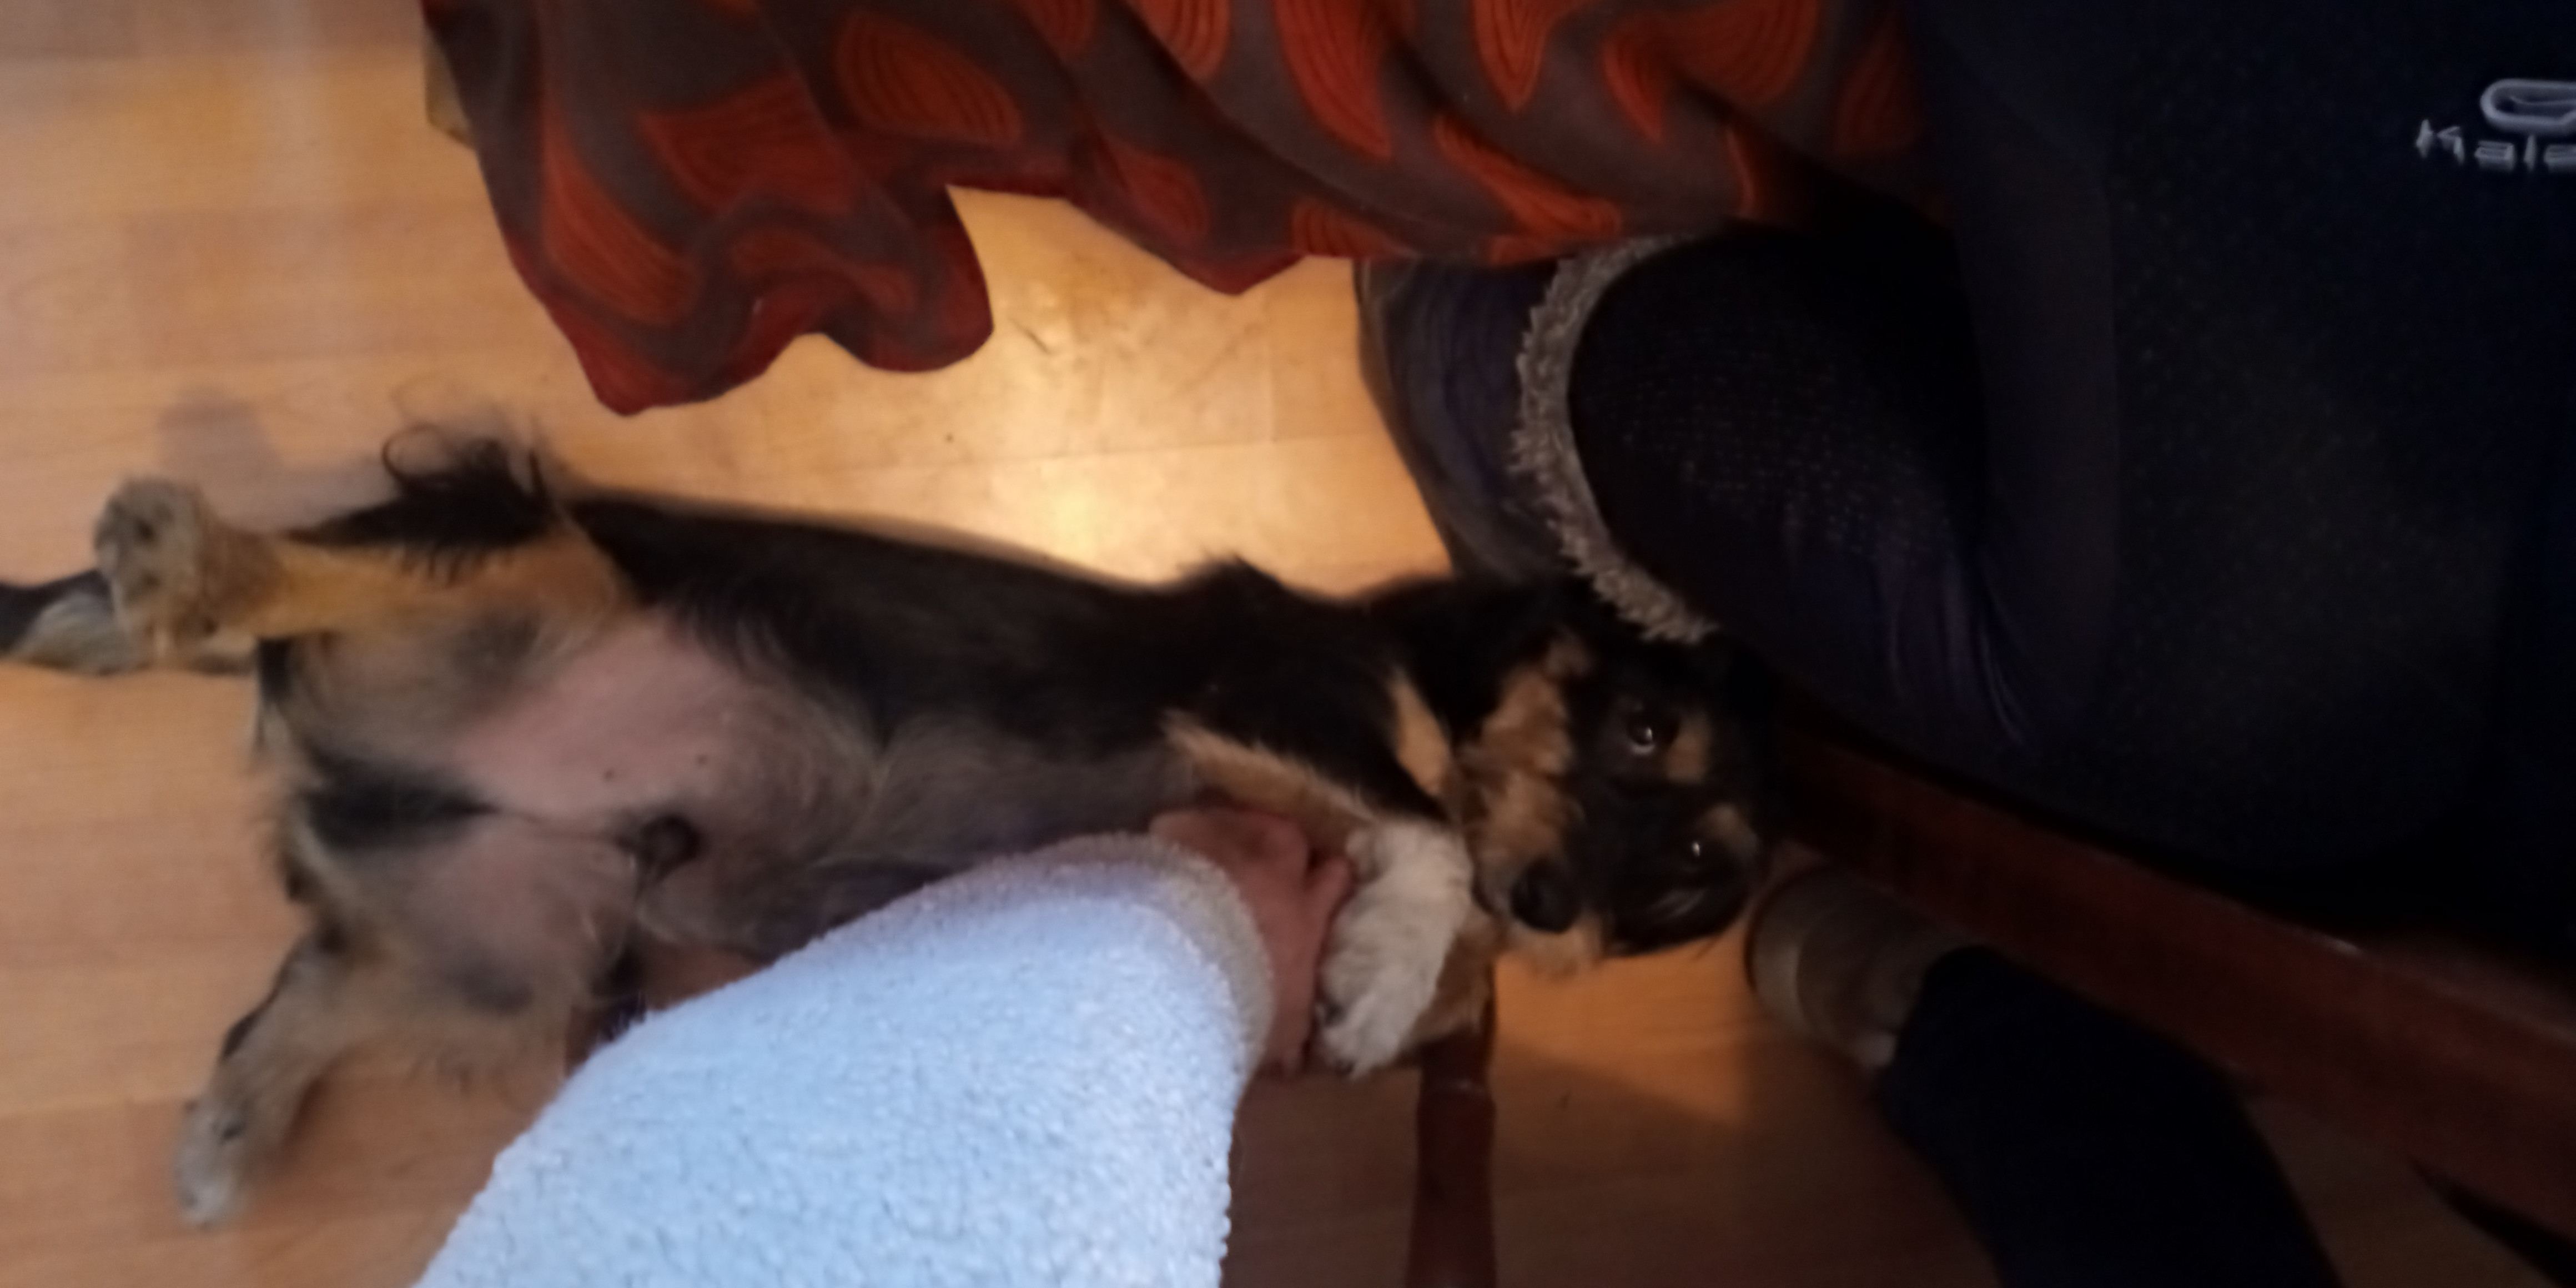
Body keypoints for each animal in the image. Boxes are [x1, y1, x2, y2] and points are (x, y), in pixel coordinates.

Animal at [0, 436, 1774, 1226]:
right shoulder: (1266, 697)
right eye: (1635, 727)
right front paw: (1397, 968)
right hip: (549, 567)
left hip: (513, 938)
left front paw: (1404, 975)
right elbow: (1419, 832)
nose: (1551, 899)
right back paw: (187, 568)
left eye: (1695, 877)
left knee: (297, 993)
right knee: (318, 578)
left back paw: (231, 1130)